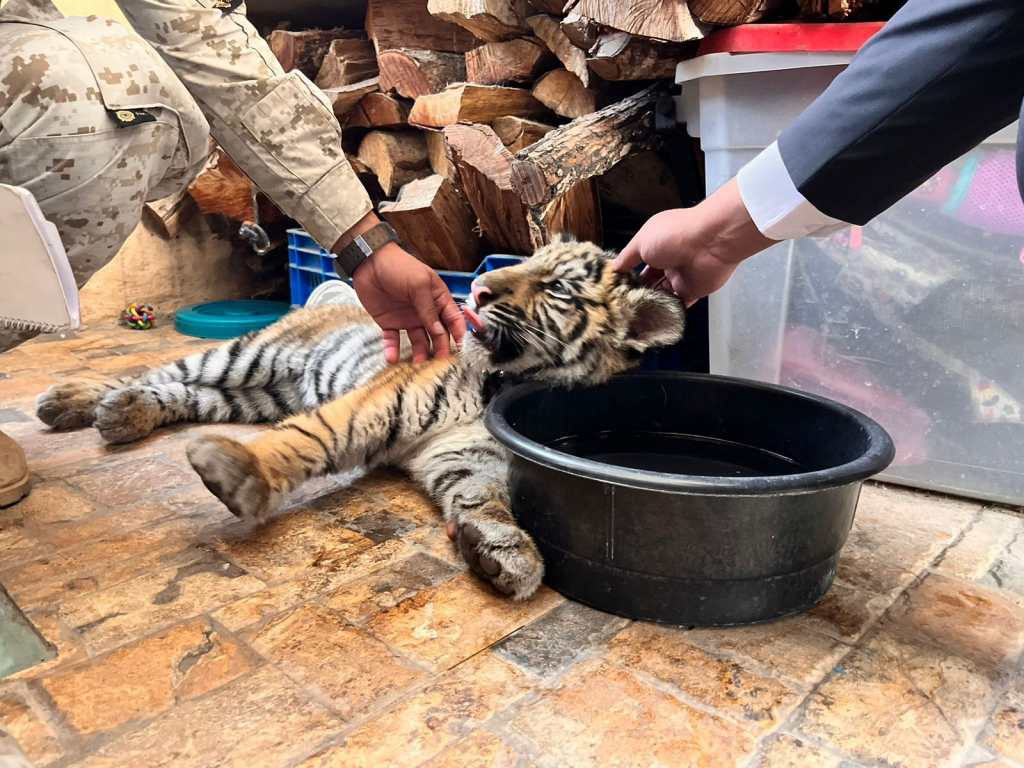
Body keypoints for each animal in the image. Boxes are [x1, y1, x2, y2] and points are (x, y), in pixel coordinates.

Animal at [39, 240, 684, 602]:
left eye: (556, 287)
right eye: (525, 261)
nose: (477, 289)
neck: (499, 381)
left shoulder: (465, 454)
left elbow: (482, 498)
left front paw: (503, 552)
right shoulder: (374, 404)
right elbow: (305, 442)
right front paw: (240, 473)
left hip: (248, 397)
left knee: (180, 391)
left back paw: (122, 415)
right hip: (247, 358)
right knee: (152, 370)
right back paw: (70, 400)